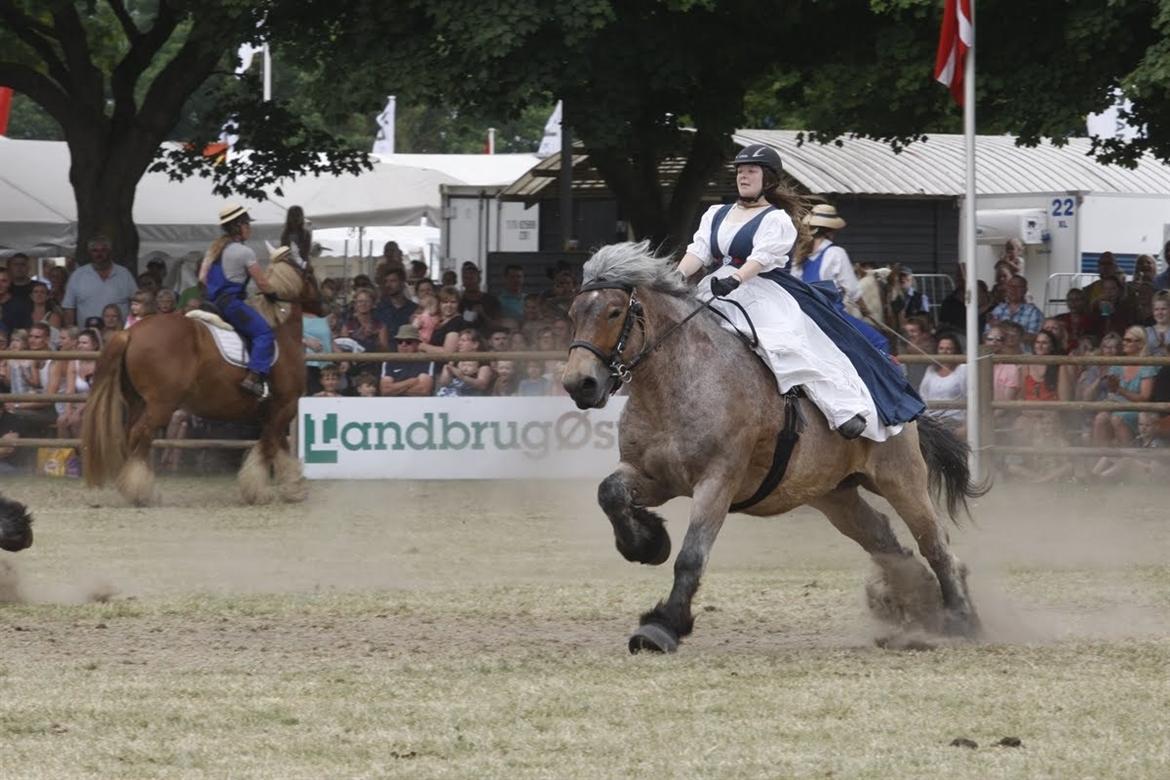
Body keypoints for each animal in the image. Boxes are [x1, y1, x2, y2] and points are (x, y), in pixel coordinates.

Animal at [83, 260, 322, 507]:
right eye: (310, 274)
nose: (325, 304)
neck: (280, 332)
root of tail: (131, 332)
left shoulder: (272, 412)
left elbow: (278, 447)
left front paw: (294, 488)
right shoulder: (285, 406)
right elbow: (268, 447)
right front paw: (259, 491)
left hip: (138, 402)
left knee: (131, 434)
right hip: (161, 405)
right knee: (142, 434)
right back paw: (141, 492)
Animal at [561, 242, 982, 654]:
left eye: (614, 311)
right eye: (573, 312)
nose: (579, 384)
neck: (679, 383)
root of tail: (901, 391)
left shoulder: (717, 482)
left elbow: (691, 556)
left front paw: (662, 626)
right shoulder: (651, 475)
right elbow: (610, 494)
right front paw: (646, 543)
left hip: (900, 478)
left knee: (934, 543)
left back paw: (959, 618)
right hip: (834, 495)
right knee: (883, 539)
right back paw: (917, 604)